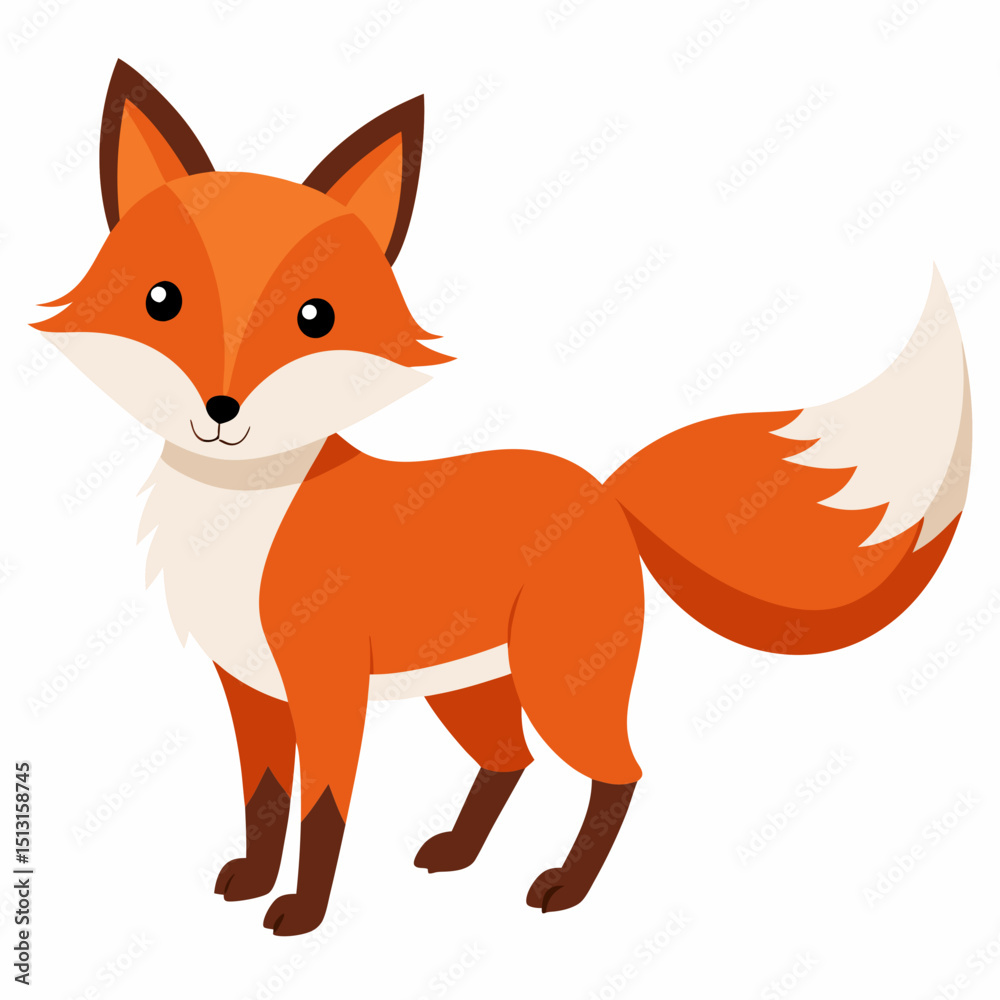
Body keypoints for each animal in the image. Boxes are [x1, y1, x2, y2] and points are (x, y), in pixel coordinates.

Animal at [34, 61, 971, 936]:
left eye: (315, 317)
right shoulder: (251, 689)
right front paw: (255, 882)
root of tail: (603, 490)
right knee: (511, 760)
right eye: (162, 301)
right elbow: (264, 801)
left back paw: (565, 889)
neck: (240, 517)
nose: (223, 409)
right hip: (471, 686)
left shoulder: (326, 686)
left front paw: (303, 913)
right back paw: (459, 853)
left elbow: (323, 811)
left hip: (564, 684)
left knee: (618, 773)